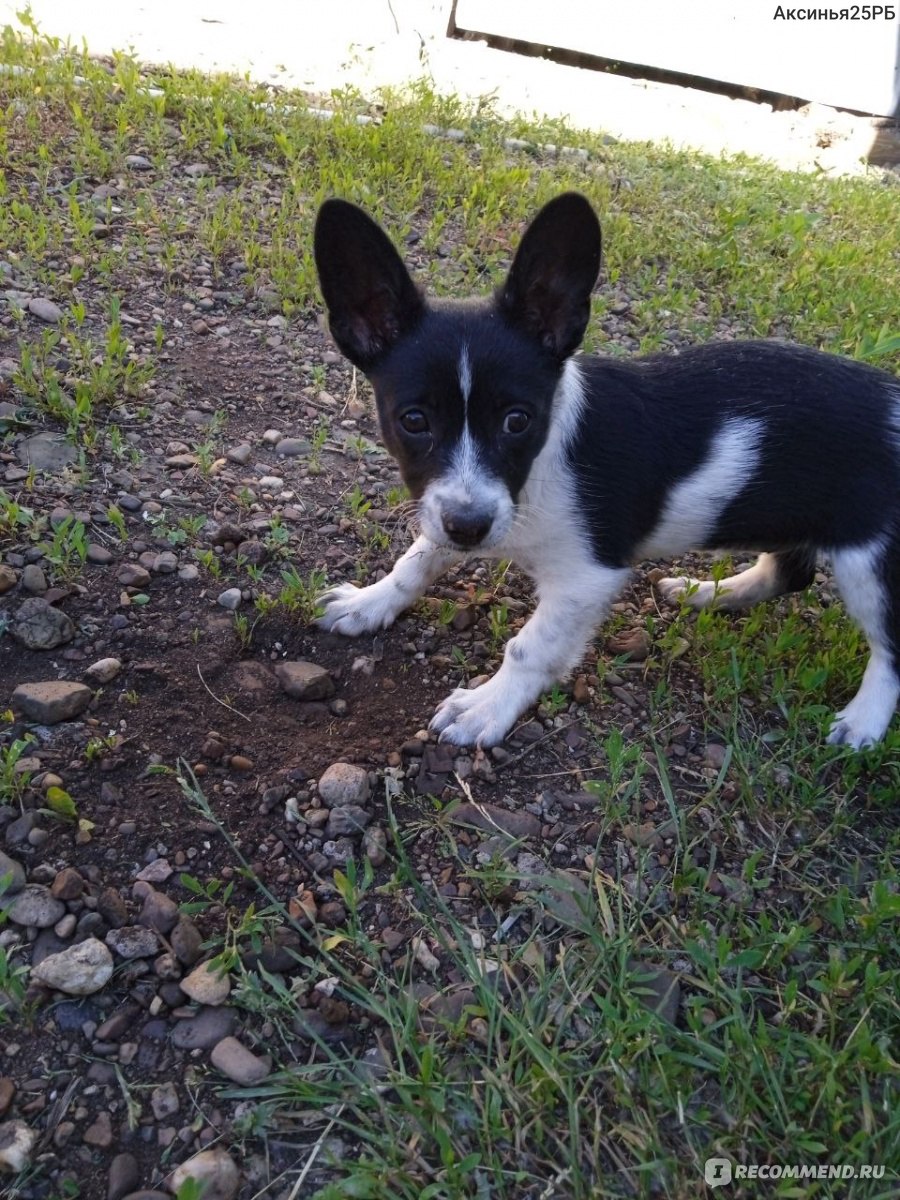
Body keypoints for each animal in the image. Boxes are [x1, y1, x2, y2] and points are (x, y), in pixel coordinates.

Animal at [314, 190, 900, 744]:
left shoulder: (585, 578)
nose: (470, 528)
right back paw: (712, 593)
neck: (541, 468)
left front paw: (487, 707)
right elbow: (418, 559)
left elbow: (529, 647)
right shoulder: (456, 510)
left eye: (517, 420)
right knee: (789, 572)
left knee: (890, 647)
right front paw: (370, 602)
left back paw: (863, 722)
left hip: (870, 562)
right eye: (413, 420)